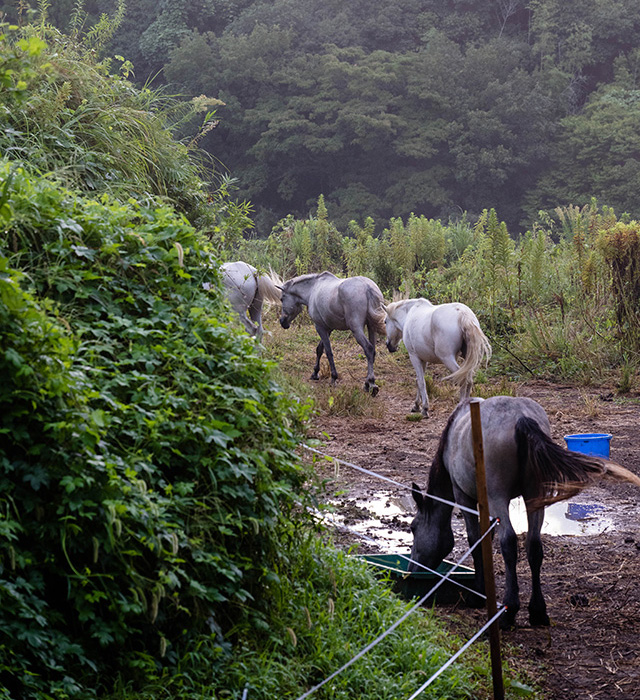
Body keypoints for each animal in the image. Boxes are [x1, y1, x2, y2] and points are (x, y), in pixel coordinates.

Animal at [410, 396, 640, 632]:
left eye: (413, 528)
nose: (412, 569)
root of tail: (521, 418)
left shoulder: (465, 497)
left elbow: (476, 542)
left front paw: (479, 595)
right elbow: (487, 539)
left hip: (499, 497)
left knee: (509, 543)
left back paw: (509, 612)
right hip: (534, 497)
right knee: (534, 545)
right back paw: (537, 612)